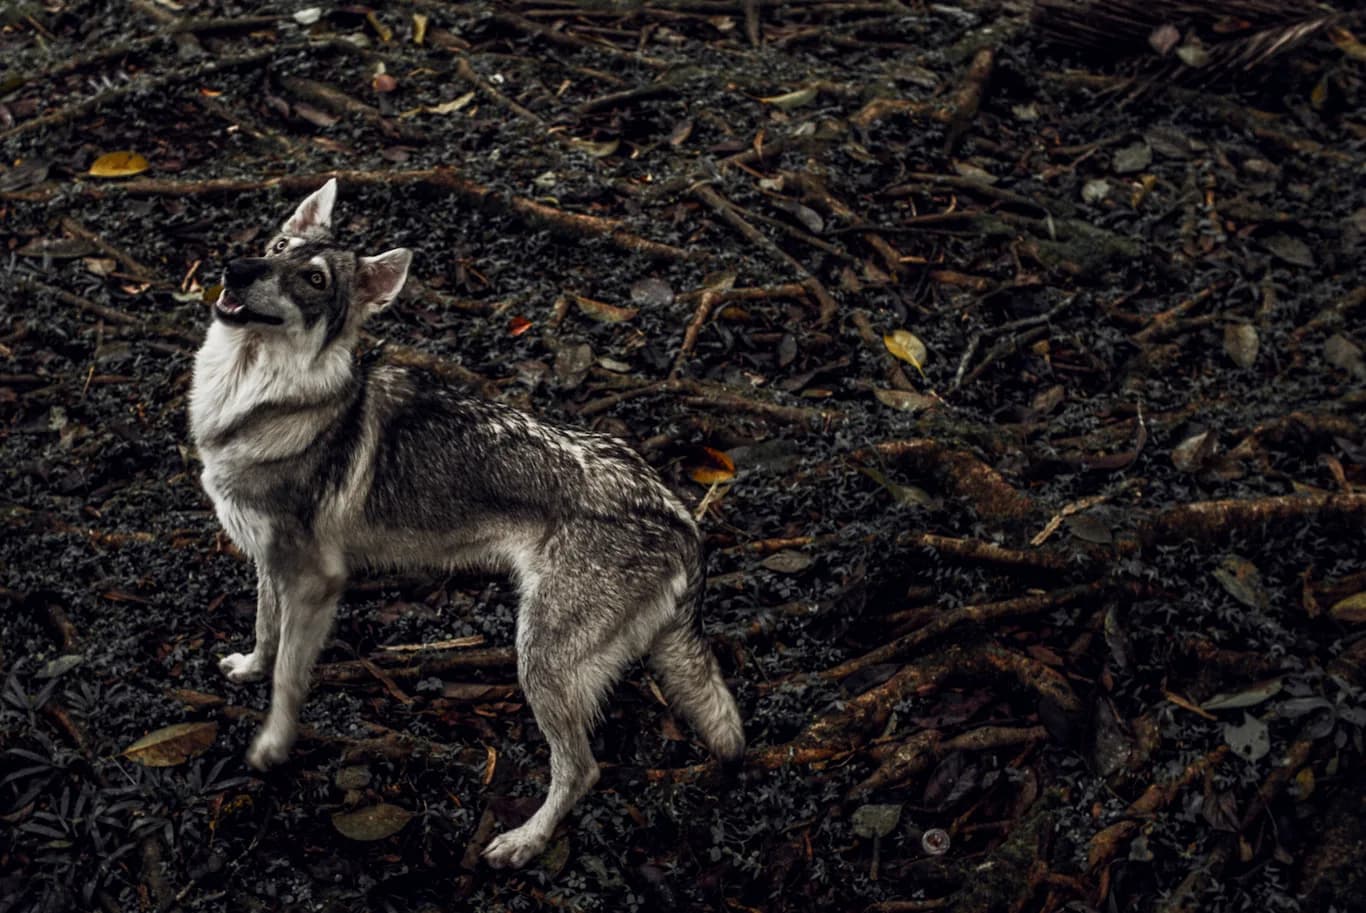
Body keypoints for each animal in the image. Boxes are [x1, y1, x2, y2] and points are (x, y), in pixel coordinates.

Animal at [189, 180, 744, 868]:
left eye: (313, 278)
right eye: (276, 247)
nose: (236, 267)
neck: (251, 398)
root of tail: (681, 517)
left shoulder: (317, 582)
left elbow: (291, 677)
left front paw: (271, 747)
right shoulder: (271, 563)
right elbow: (267, 633)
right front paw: (248, 670)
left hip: (538, 659)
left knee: (582, 769)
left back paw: (524, 842)